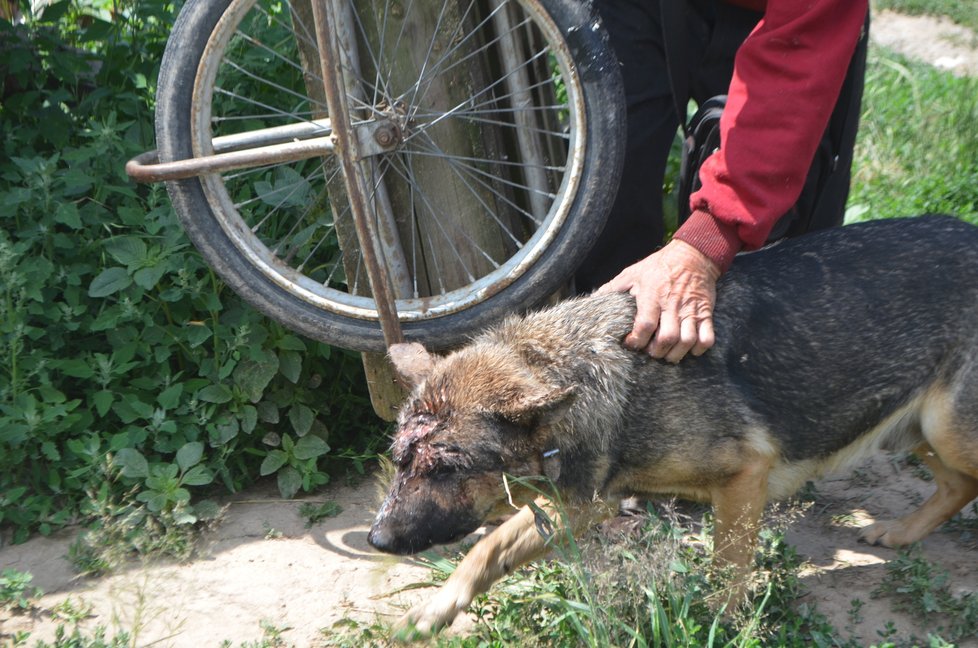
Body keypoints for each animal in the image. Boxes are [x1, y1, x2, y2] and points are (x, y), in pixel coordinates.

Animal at [364, 216, 976, 632]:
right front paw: (436, 608)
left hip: (947, 429)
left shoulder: (743, 478)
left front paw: (720, 624)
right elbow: (484, 550)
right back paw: (899, 532)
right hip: (918, 429)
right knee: (957, 485)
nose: (376, 540)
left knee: (964, 480)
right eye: (400, 461)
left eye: (449, 468)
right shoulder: (583, 503)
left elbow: (727, 568)